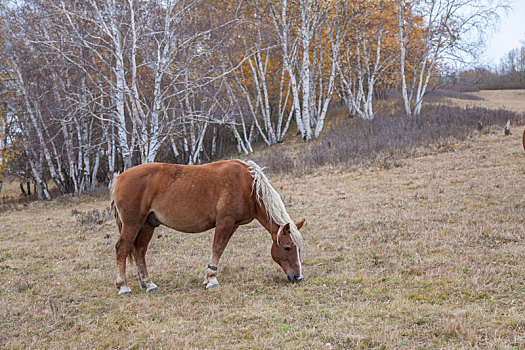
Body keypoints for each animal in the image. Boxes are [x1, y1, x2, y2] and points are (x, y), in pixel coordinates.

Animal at [110, 160, 304, 294]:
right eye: (287, 248)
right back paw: (123, 286)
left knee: (139, 252)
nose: (298, 277)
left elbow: (220, 248)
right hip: (133, 223)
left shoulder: (233, 224)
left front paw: (208, 277)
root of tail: (119, 178)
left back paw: (148, 284)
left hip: (147, 225)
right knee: (122, 247)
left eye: (298, 249)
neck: (247, 186)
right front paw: (211, 280)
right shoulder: (225, 222)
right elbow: (217, 248)